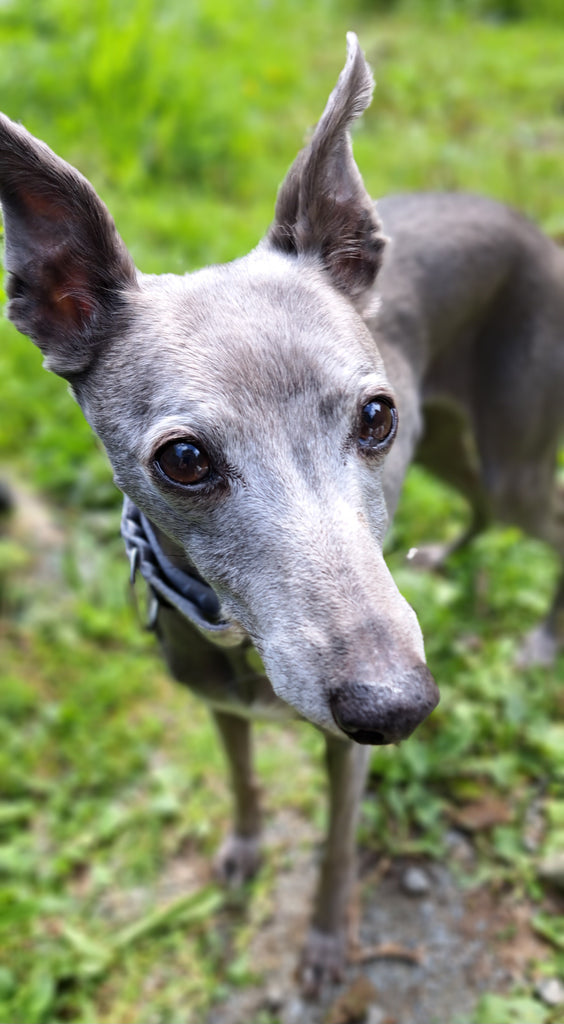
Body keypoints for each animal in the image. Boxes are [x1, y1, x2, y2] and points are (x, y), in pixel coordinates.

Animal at [1, 34, 564, 991]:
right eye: (184, 459)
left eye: (374, 415)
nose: (396, 706)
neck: (239, 640)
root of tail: (525, 221)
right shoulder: (219, 708)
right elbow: (241, 782)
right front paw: (246, 850)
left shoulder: (347, 755)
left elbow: (336, 847)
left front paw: (327, 946)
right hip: (460, 451)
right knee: (479, 508)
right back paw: (447, 556)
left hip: (512, 455)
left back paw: (542, 637)